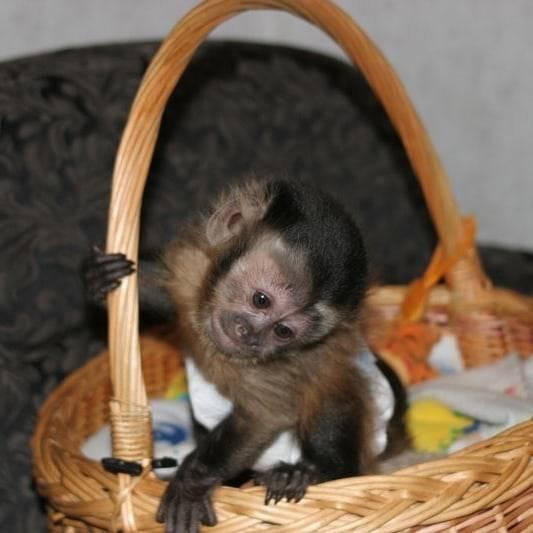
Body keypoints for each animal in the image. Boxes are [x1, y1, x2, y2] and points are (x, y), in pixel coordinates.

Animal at [84, 179, 408, 532]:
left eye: (283, 331)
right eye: (261, 300)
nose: (250, 335)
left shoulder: (276, 363)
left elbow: (264, 416)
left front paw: (191, 483)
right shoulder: (194, 271)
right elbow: (170, 292)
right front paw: (105, 278)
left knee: (330, 391)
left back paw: (309, 474)